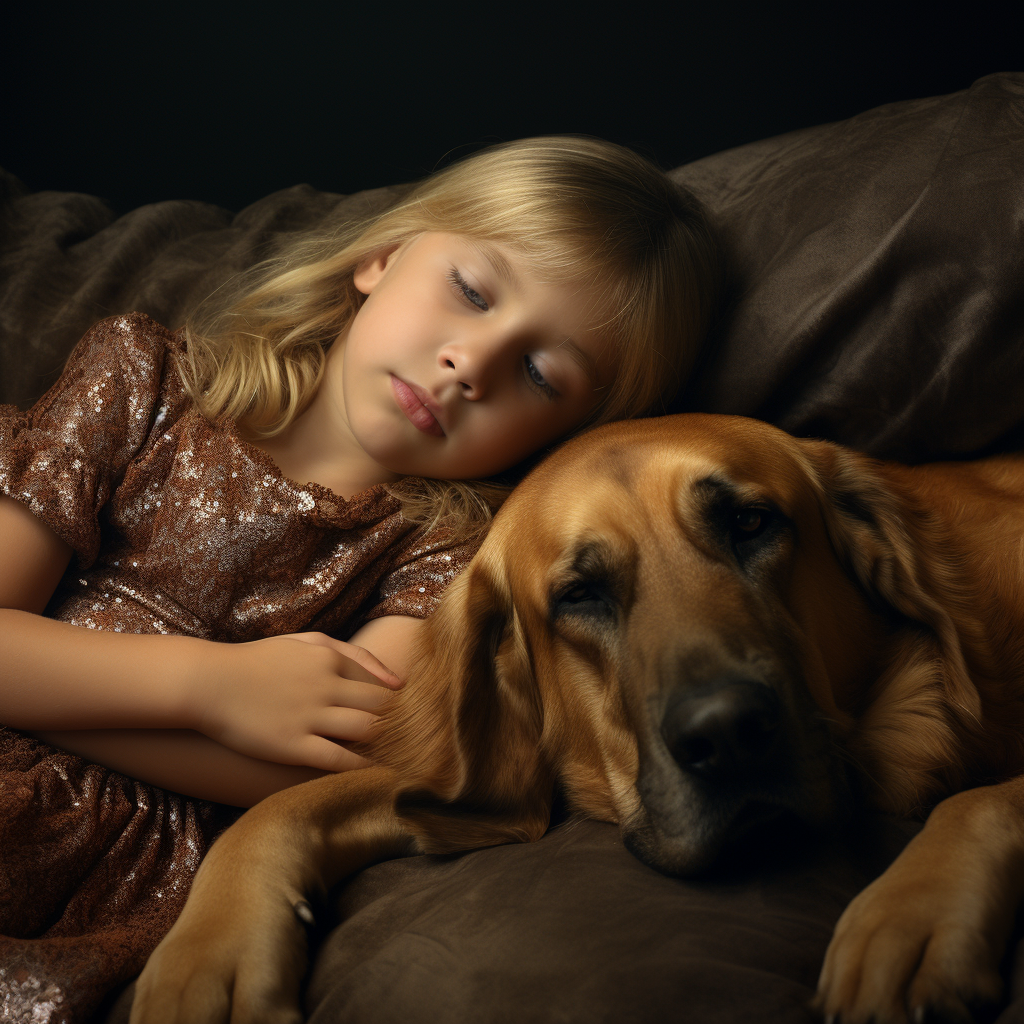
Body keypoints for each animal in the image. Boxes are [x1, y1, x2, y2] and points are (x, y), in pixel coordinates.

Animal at [132, 413, 1024, 1024]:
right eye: (580, 596)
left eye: (752, 523)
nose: (728, 733)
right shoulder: (478, 792)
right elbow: (287, 805)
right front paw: (211, 954)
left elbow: (984, 800)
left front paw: (909, 915)